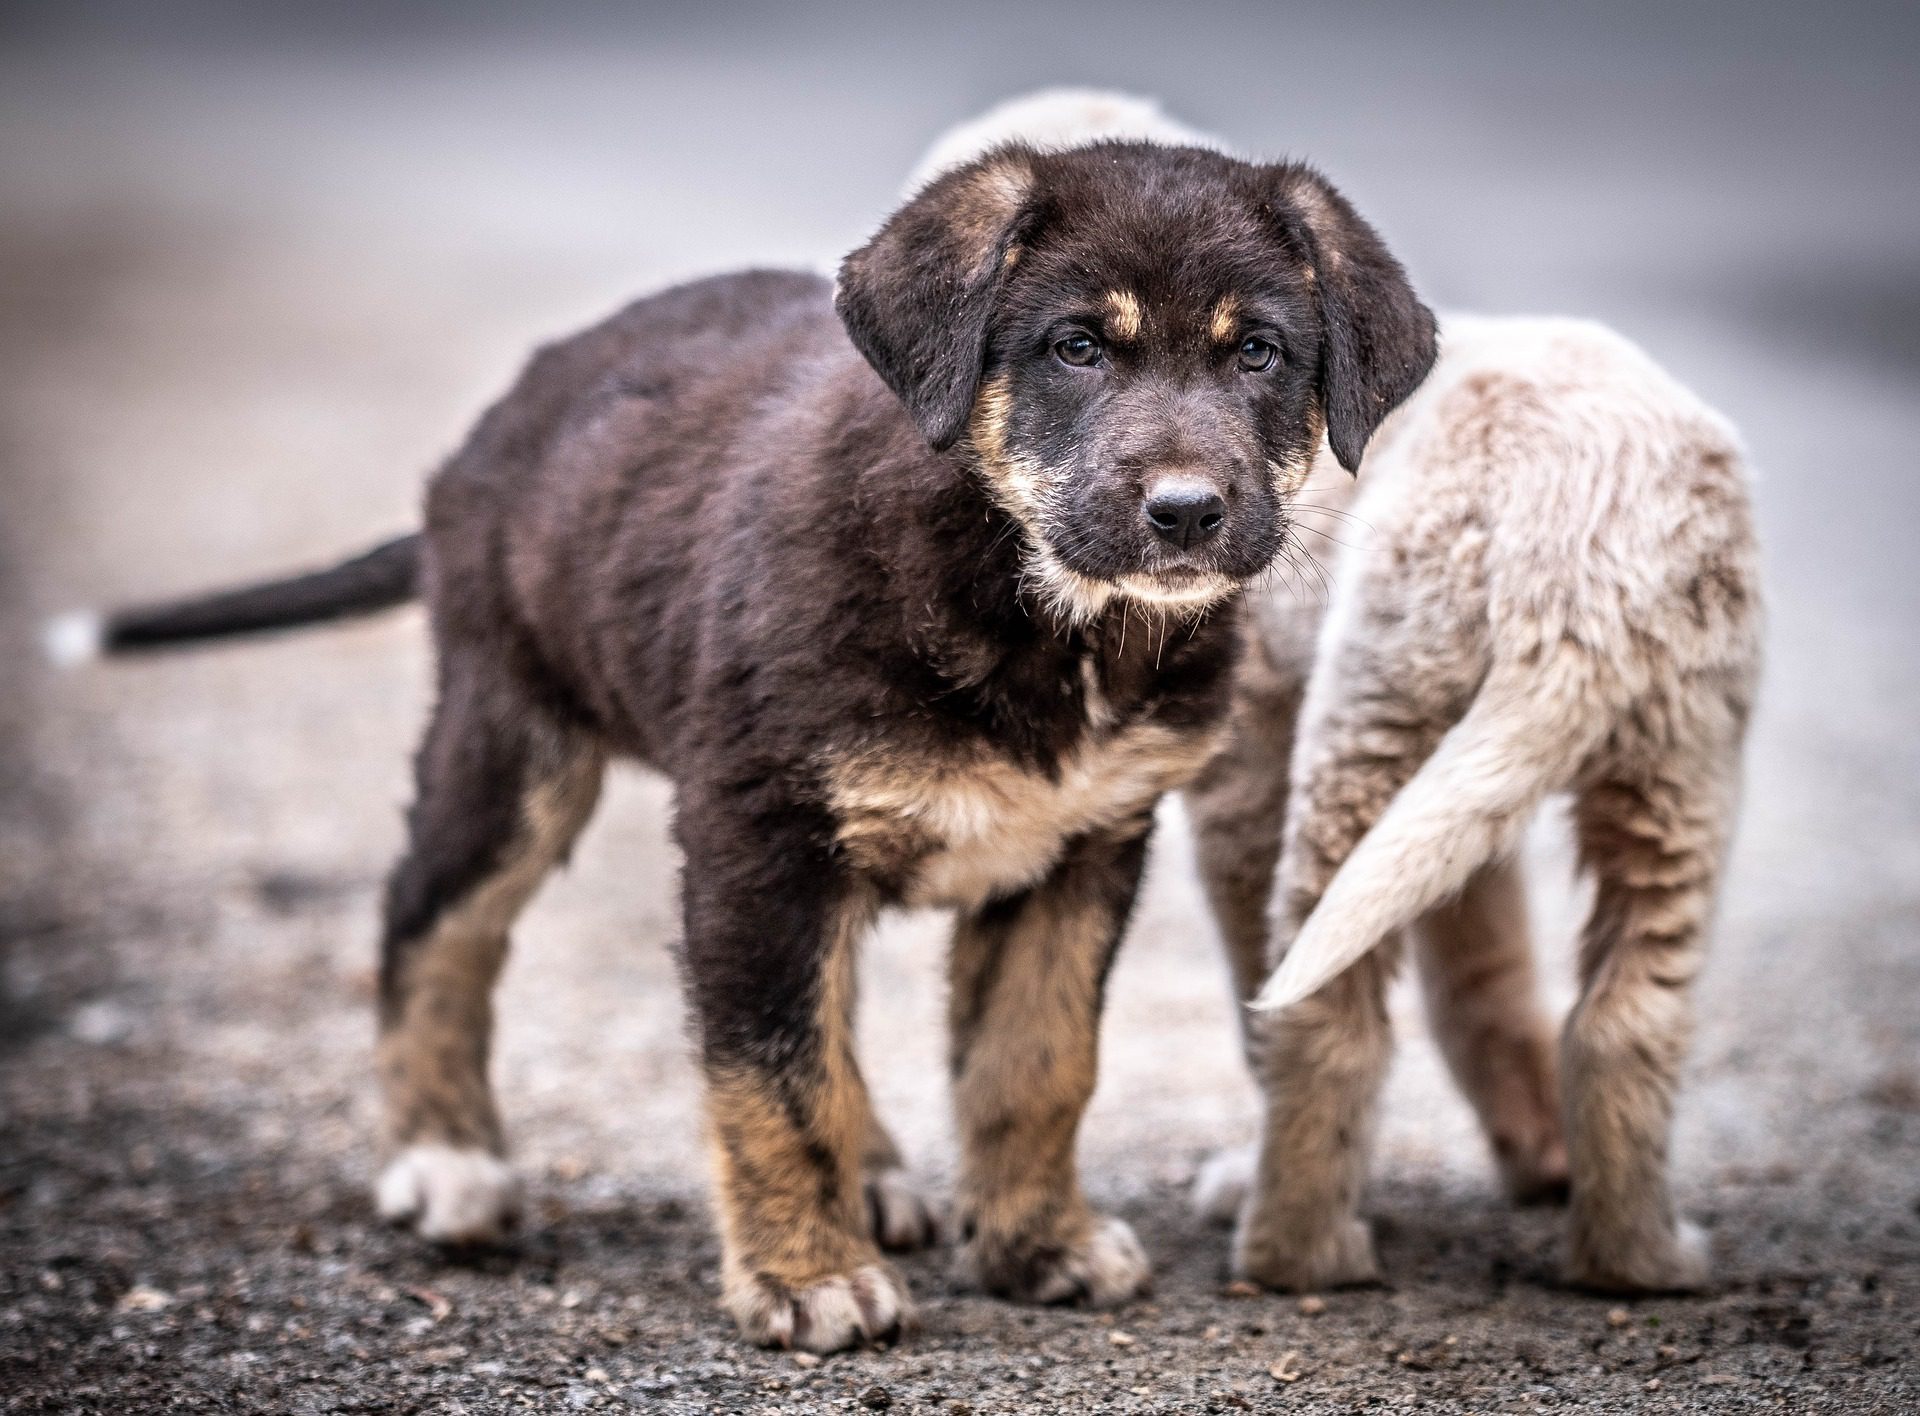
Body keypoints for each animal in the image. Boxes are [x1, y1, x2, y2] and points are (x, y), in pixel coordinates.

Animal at [52, 143, 1436, 1343]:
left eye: (1260, 353)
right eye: (1077, 346)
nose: (1187, 514)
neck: (1032, 603)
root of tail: (494, 430)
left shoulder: (1082, 844)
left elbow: (1035, 1063)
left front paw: (1038, 1245)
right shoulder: (752, 834)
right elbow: (771, 1077)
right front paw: (807, 1277)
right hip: (512, 737)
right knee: (431, 922)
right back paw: (443, 1158)